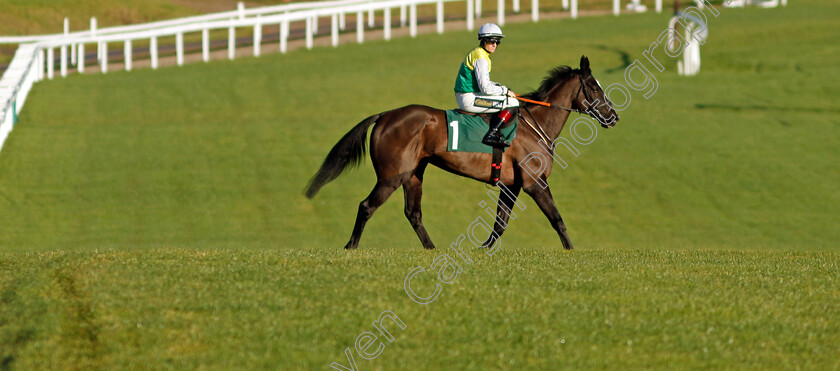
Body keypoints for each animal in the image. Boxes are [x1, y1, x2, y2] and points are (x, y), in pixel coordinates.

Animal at [306, 56, 616, 251]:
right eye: (594, 87)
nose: (613, 117)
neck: (536, 125)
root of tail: (385, 115)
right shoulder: (534, 183)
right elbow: (557, 219)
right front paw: (571, 250)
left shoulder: (511, 185)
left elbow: (500, 223)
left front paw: (482, 249)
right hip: (392, 176)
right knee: (366, 206)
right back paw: (351, 246)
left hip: (414, 174)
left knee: (413, 213)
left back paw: (432, 249)